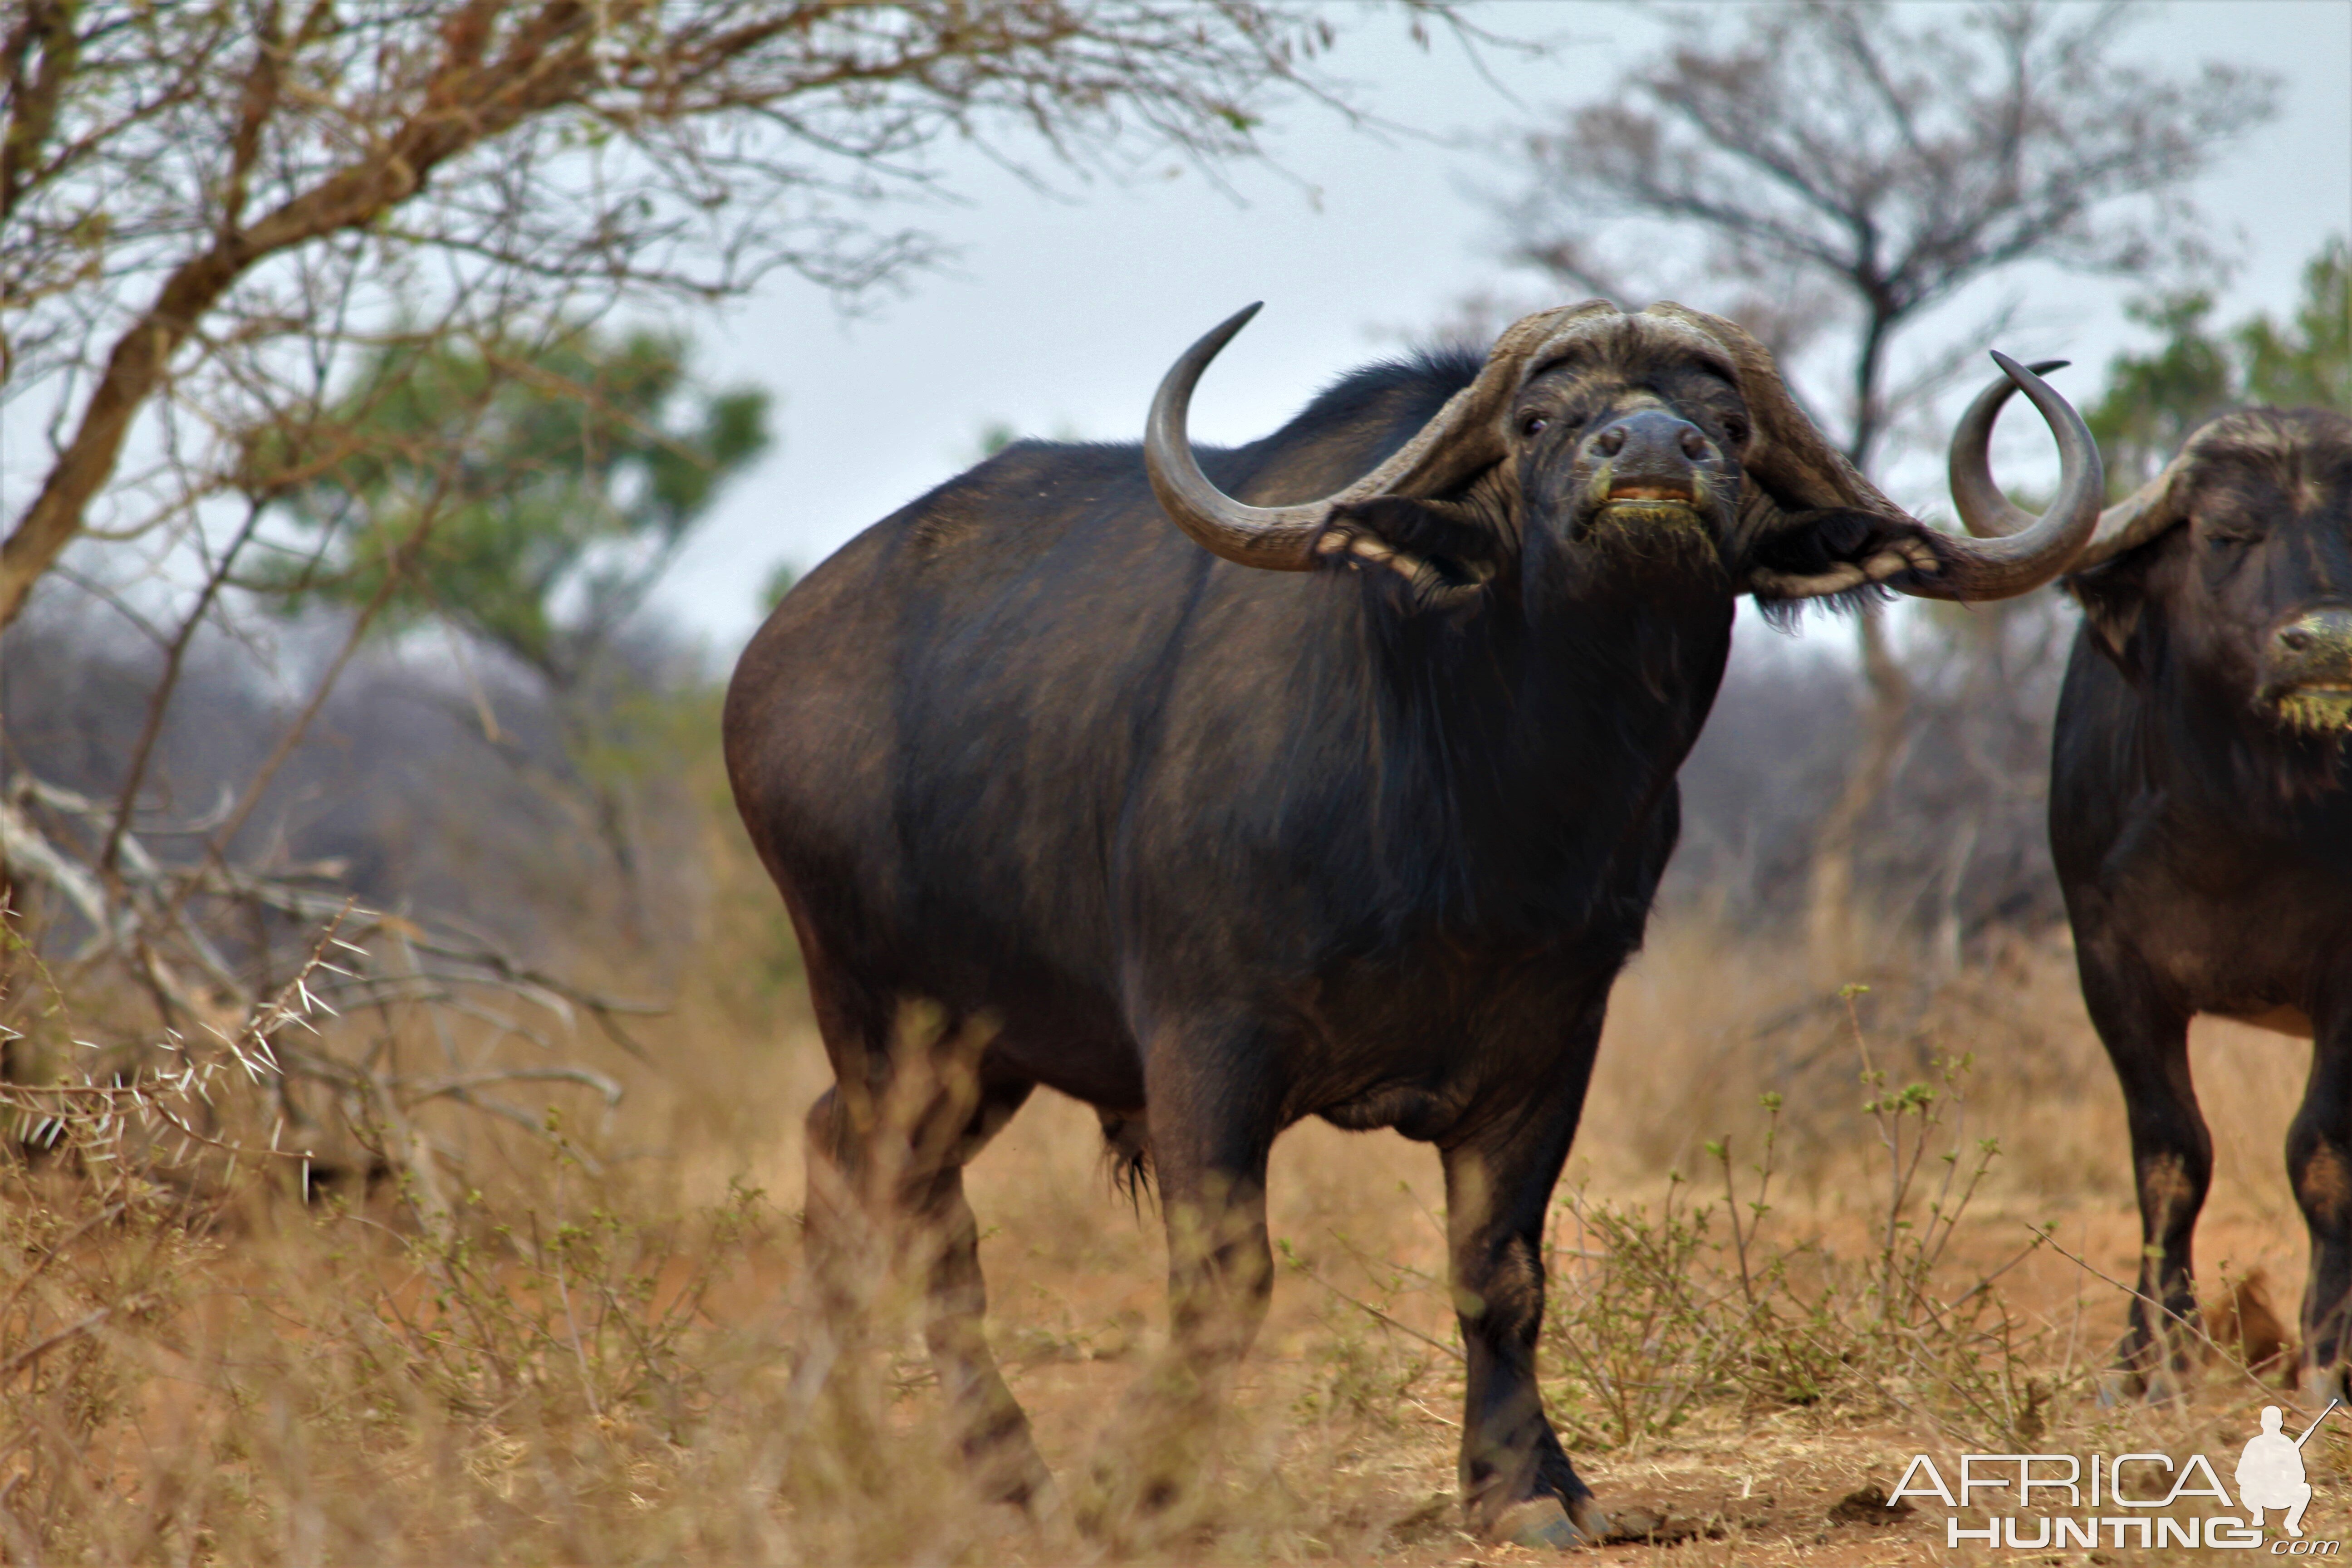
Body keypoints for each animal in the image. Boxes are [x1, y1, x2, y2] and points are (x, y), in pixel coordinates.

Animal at [734, 297, 2098, 1542]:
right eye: (1541, 420)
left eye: (1725, 424)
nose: (1651, 451)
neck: (1482, 815)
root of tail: (775, 654)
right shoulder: (1203, 1043)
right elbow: (1224, 1278)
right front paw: (1143, 1486)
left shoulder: (1550, 1043)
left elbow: (1501, 1270)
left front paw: (1525, 1486)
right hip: (885, 1014)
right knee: (931, 1224)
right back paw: (1003, 1475)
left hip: (981, 1051)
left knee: (837, 1159)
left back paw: (821, 1458)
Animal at [1947, 381, 2352, 1401]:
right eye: (2225, 532)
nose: (2328, 645)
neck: (2240, 822)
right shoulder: (2112, 970)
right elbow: (2171, 1156)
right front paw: (2151, 1361)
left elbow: (2319, 1152)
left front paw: (2327, 1359)